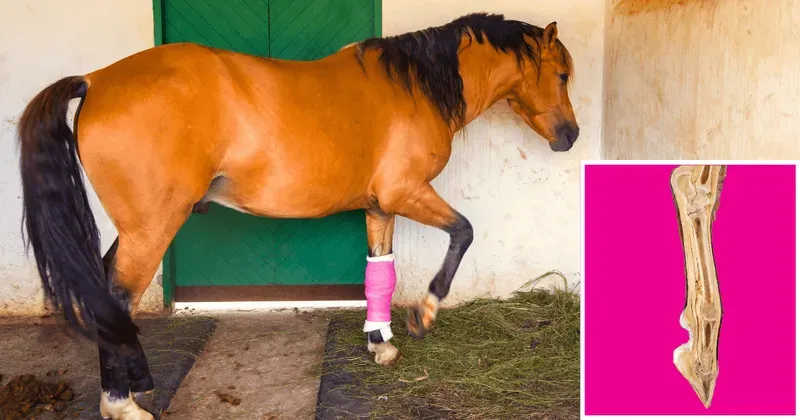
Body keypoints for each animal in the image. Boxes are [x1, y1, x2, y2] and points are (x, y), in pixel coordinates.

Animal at [18, 12, 578, 420]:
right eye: (563, 74)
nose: (569, 136)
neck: (414, 87)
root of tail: (96, 81)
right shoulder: (406, 193)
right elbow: (463, 232)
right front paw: (424, 313)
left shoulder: (380, 206)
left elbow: (381, 269)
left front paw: (380, 344)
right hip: (151, 227)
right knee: (115, 297)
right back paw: (122, 405)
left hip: (137, 227)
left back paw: (137, 389)